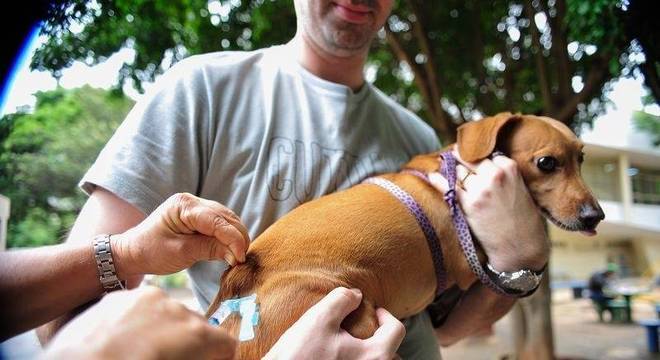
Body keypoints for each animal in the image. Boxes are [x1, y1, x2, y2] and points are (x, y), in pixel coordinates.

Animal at [205, 112, 604, 358]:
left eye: (582, 158)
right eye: (547, 163)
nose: (595, 216)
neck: (454, 174)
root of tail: (239, 283)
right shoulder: (469, 267)